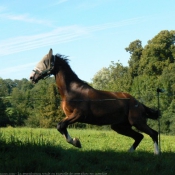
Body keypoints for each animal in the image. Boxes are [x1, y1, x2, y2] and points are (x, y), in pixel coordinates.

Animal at [30, 48, 160, 154]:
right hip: (119, 126)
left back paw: (157, 153)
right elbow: (61, 127)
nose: (31, 77)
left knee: (153, 133)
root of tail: (138, 103)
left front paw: (76, 142)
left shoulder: (78, 115)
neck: (72, 91)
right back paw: (130, 152)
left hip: (137, 122)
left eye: (44, 62)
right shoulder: (69, 116)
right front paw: (76, 142)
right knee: (139, 136)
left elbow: (60, 125)